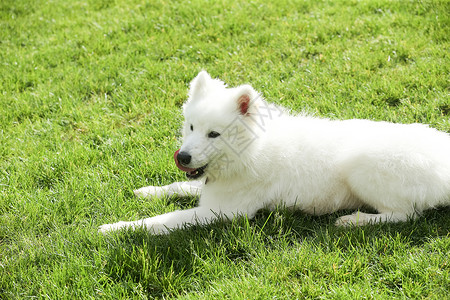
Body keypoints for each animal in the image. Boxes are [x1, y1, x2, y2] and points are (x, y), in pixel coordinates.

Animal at [99, 71, 450, 234]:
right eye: (191, 127)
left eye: (214, 134)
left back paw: (355, 220)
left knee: (405, 215)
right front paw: (148, 191)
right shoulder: (212, 190)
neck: (248, 151)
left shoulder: (222, 211)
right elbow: (179, 186)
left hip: (361, 165)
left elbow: (161, 221)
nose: (182, 157)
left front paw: (115, 229)